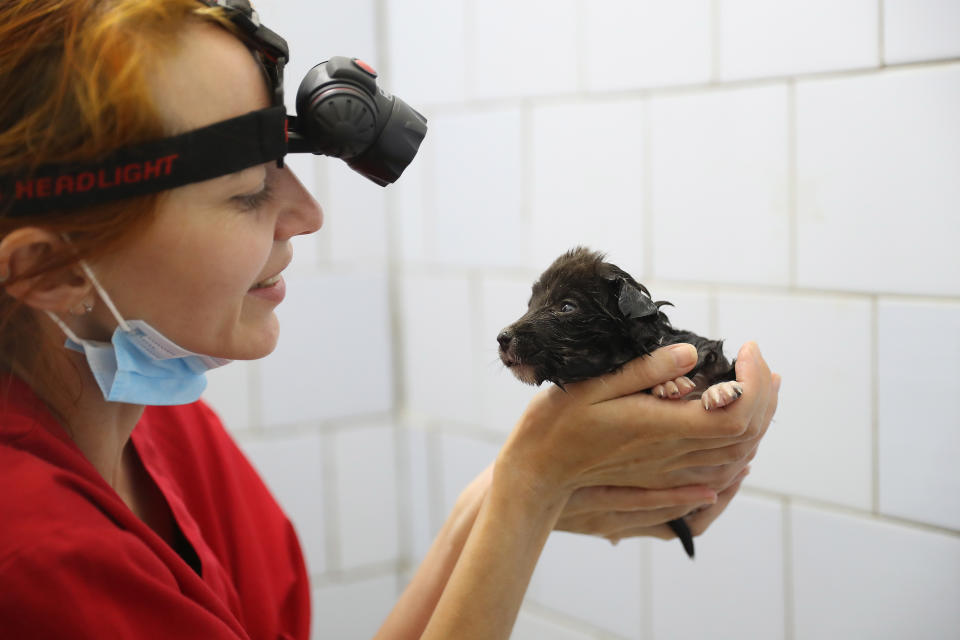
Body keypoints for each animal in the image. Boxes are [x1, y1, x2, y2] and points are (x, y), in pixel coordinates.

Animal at [498, 248, 740, 556]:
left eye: (566, 307)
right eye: (531, 304)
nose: (502, 337)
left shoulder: (704, 351)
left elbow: (717, 365)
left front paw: (719, 388)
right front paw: (668, 383)